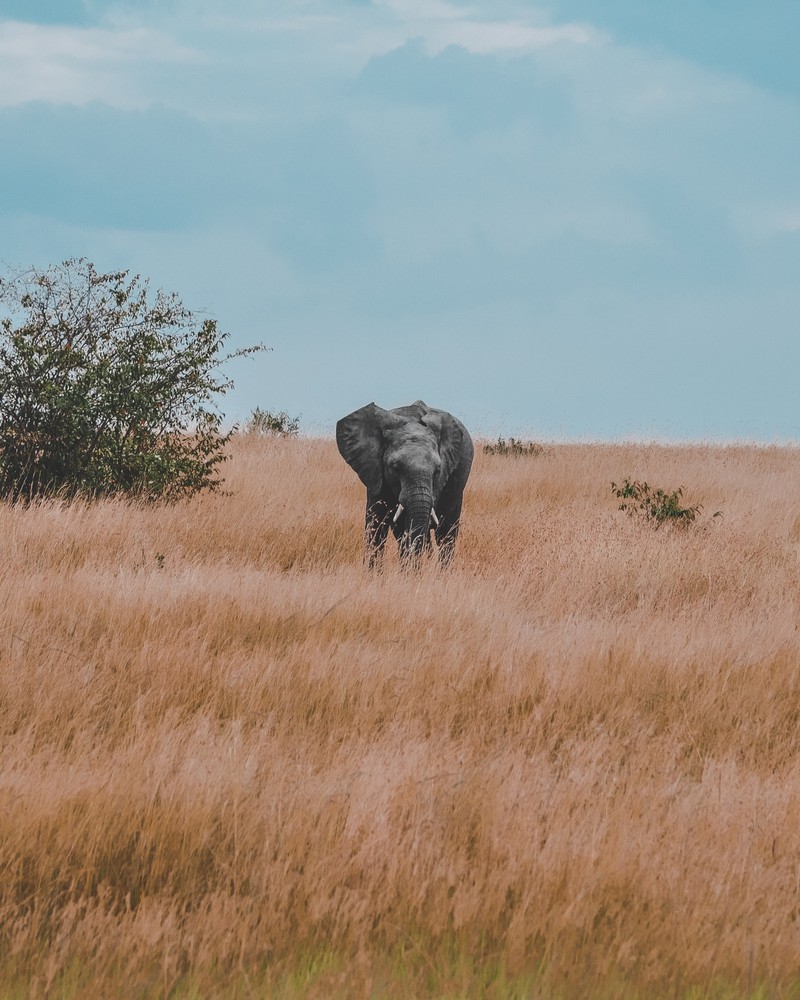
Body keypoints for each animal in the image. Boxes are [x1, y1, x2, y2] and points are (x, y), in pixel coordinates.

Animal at [334, 400, 472, 572]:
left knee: (446, 533)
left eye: (438, 471)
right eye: (395, 467)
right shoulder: (374, 472)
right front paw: (374, 575)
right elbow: (376, 523)